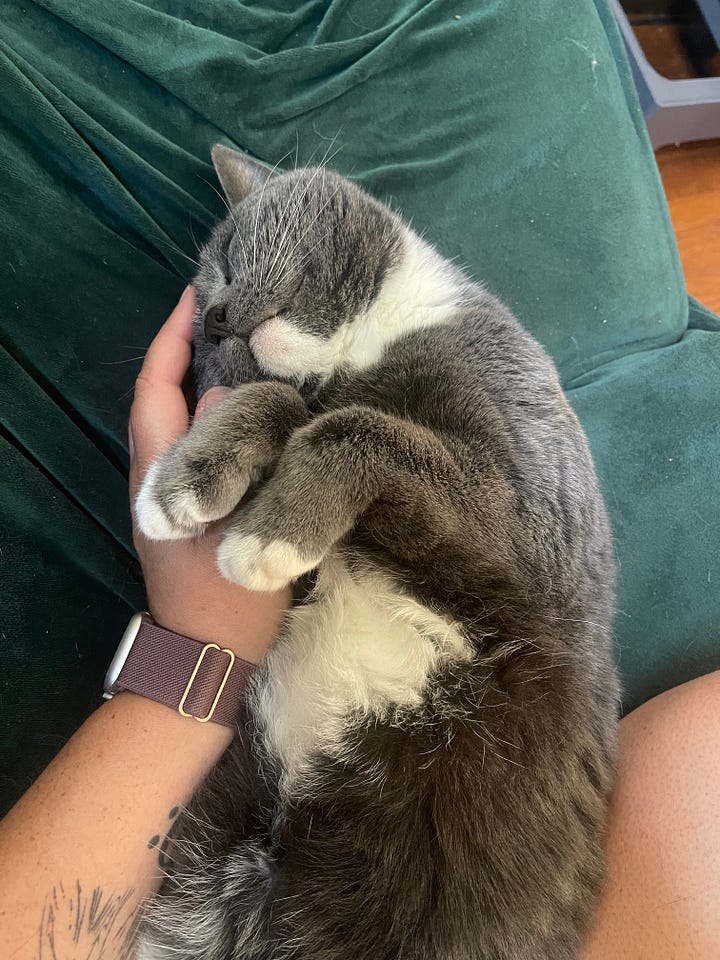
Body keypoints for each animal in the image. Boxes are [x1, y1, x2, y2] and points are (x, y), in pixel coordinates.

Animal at [135, 144, 620, 960]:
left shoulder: (528, 525)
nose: (220, 315)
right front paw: (186, 482)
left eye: (228, 256)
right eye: (203, 340)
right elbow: (287, 402)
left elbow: (359, 426)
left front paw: (261, 538)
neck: (359, 351)